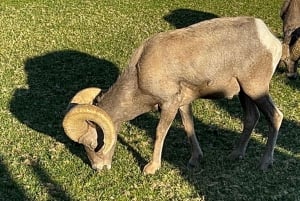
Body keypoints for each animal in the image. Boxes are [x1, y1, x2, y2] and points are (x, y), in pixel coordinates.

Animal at [62, 16, 282, 174]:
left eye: (92, 144)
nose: (99, 169)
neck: (138, 74)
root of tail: (272, 41)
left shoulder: (168, 104)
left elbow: (160, 132)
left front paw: (151, 168)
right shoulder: (182, 103)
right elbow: (188, 126)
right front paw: (195, 160)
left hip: (256, 90)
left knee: (275, 116)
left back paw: (265, 163)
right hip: (245, 93)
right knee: (252, 118)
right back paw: (235, 155)